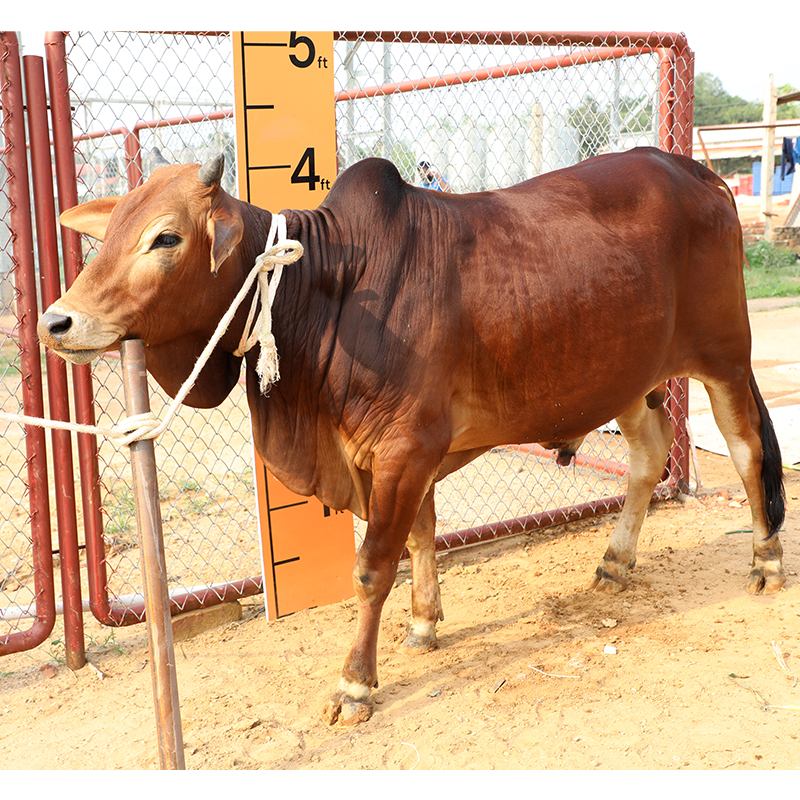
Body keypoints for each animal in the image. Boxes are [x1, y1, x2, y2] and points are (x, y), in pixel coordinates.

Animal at [37, 146, 786, 726]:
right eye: (109, 233)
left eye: (165, 238)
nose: (57, 322)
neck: (330, 287)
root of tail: (699, 174)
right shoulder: (402, 454)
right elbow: (422, 535)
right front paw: (425, 623)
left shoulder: (405, 447)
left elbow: (374, 566)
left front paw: (354, 684)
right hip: (625, 378)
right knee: (649, 454)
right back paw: (615, 561)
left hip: (724, 358)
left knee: (747, 451)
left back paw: (767, 561)